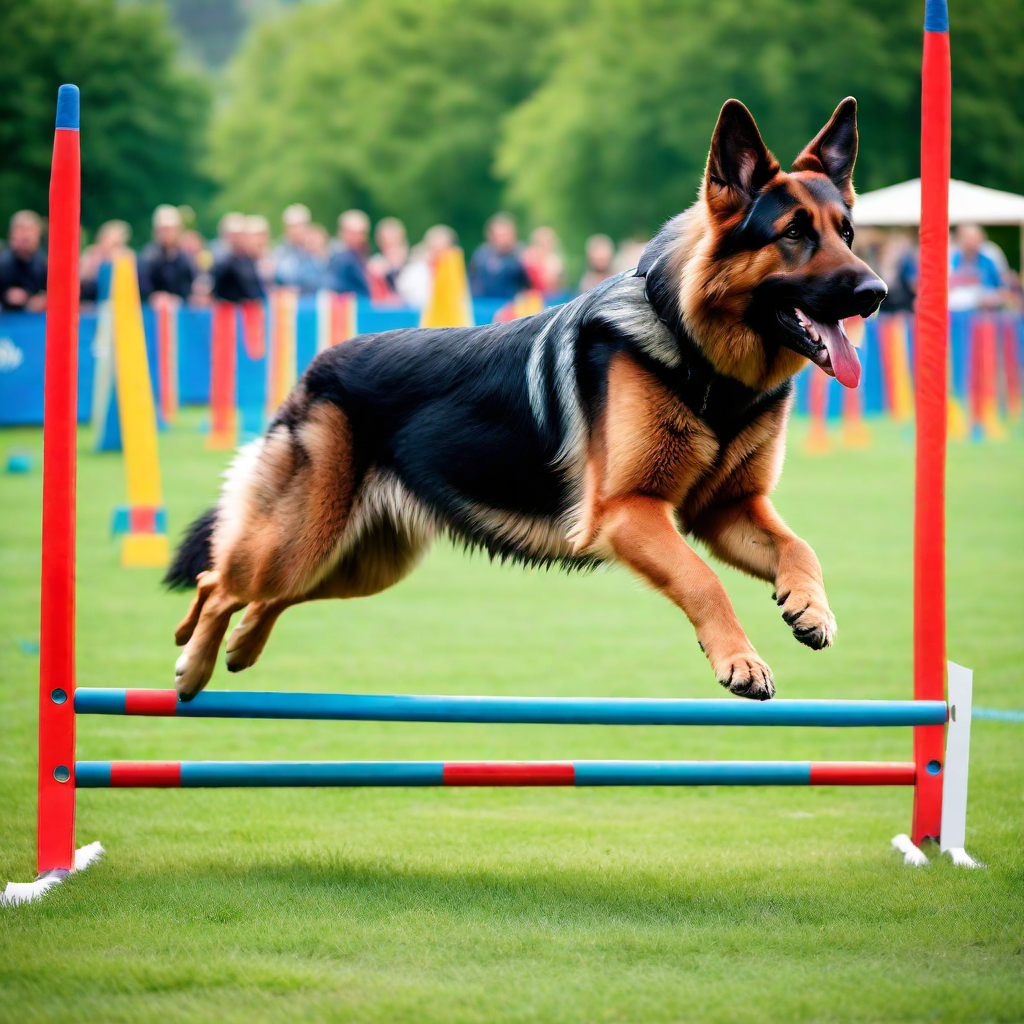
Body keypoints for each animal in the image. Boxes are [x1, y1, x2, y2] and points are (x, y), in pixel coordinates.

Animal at [167, 96, 888, 700]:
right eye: (792, 233)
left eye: (847, 233)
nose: (877, 293)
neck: (697, 351)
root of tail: (318, 365)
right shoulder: (629, 511)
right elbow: (701, 580)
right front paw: (740, 659)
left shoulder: (728, 509)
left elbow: (800, 548)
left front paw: (810, 606)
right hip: (298, 542)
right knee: (219, 581)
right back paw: (193, 662)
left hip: (360, 564)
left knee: (265, 597)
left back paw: (241, 649)